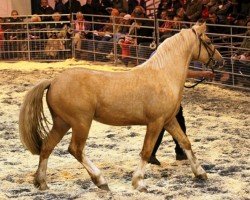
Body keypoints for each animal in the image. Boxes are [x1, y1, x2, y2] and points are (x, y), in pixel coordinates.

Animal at [19, 23, 223, 192]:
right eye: (209, 41)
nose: (220, 61)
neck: (163, 75)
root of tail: (53, 81)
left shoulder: (169, 120)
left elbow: (185, 142)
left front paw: (200, 173)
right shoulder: (155, 123)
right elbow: (146, 151)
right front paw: (139, 183)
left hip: (62, 123)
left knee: (47, 146)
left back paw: (41, 182)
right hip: (81, 123)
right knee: (75, 149)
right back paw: (100, 181)